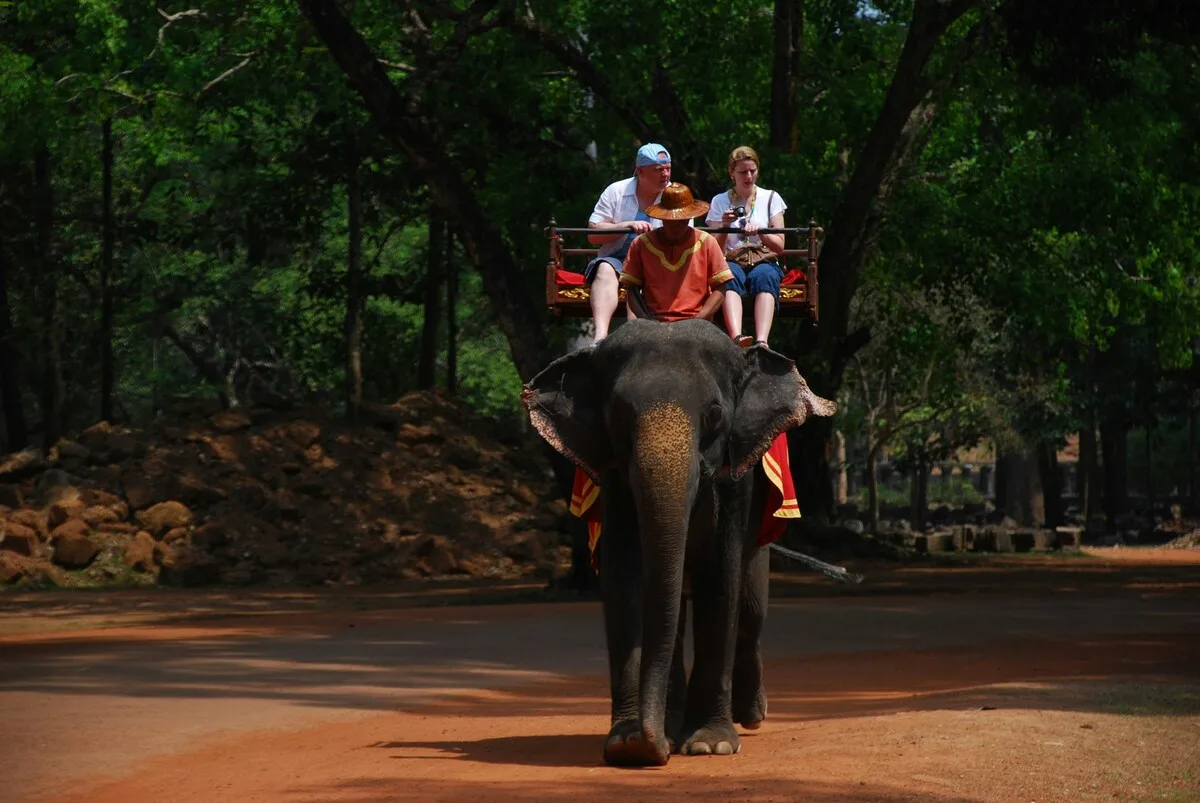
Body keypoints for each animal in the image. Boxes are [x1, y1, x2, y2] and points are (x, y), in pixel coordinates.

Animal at [521, 318, 835, 767]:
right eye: (619, 414)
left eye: (715, 413)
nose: (650, 747)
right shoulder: (615, 479)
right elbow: (625, 578)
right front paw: (627, 743)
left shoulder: (736, 479)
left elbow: (721, 579)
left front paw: (710, 745)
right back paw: (673, 725)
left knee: (751, 608)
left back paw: (750, 716)